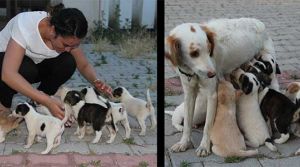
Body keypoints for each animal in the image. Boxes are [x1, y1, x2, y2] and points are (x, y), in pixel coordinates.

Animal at [164, 17, 276, 156]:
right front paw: (184, 143)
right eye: (194, 53)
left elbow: (208, 125)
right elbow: (187, 124)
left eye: (209, 49)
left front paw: (204, 146)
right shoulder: (189, 93)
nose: (213, 74)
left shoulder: (212, 94)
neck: (192, 71)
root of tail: (259, 22)